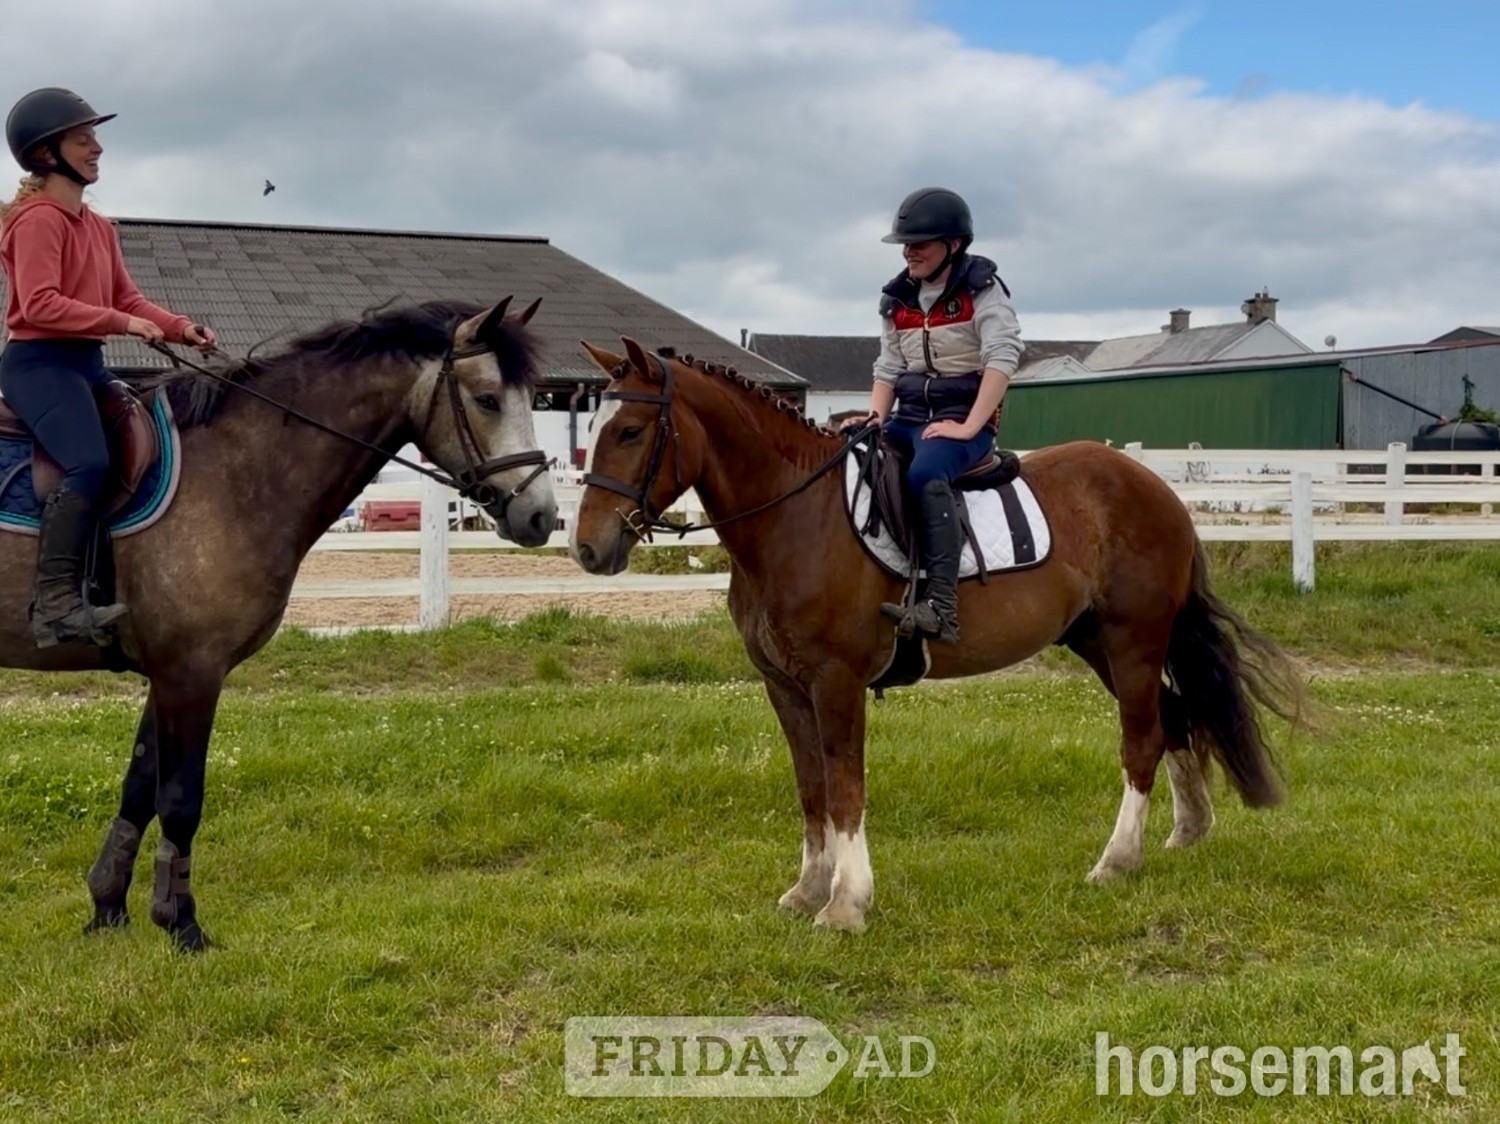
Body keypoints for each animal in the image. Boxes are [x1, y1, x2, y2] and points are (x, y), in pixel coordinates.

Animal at [0, 298, 557, 951]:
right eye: (488, 399)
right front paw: (181, 922)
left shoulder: (168, 672)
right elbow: (181, 797)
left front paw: (108, 907)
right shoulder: (191, 672)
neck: (233, 474)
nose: (540, 514)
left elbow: (139, 785)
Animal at [569, 338, 1302, 933]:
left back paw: (1117, 861)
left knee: (1144, 739)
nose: (587, 549)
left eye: (630, 431)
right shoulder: (784, 686)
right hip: (1097, 642)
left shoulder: (837, 683)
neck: (795, 518)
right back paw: (1186, 832)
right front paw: (807, 891)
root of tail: (1157, 488)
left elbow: (845, 788)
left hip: (1134, 642)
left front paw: (846, 904)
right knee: (1174, 719)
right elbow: (810, 788)